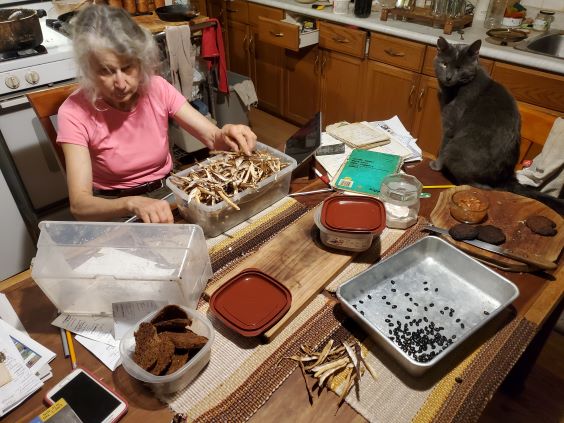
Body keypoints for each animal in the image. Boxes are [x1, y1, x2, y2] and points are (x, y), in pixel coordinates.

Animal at [430, 37, 563, 214]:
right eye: (444, 64)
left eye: (460, 68)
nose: (449, 77)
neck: (454, 89)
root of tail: (506, 176)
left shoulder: (449, 125)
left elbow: (442, 146)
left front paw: (436, 165)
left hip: (456, 149)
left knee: (477, 183)